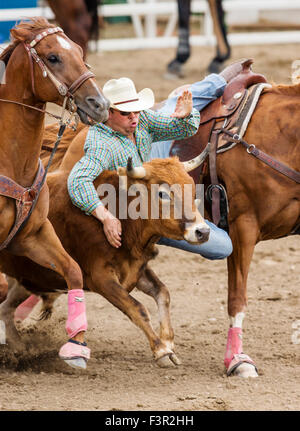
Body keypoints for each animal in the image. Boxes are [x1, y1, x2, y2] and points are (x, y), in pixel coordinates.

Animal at [0, 16, 109, 368]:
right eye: (53, 57)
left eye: (78, 50)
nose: (100, 104)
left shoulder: (32, 236)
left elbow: (73, 271)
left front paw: (76, 345)